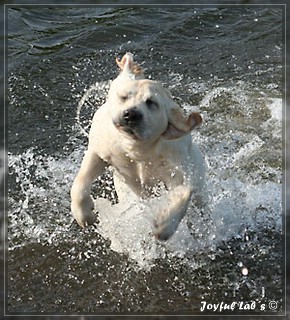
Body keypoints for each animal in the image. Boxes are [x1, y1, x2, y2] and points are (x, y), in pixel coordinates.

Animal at [71, 53, 205, 240]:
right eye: (124, 96)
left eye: (151, 103)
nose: (131, 114)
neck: (136, 149)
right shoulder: (99, 152)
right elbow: (80, 183)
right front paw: (85, 215)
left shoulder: (179, 169)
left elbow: (185, 191)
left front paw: (163, 225)